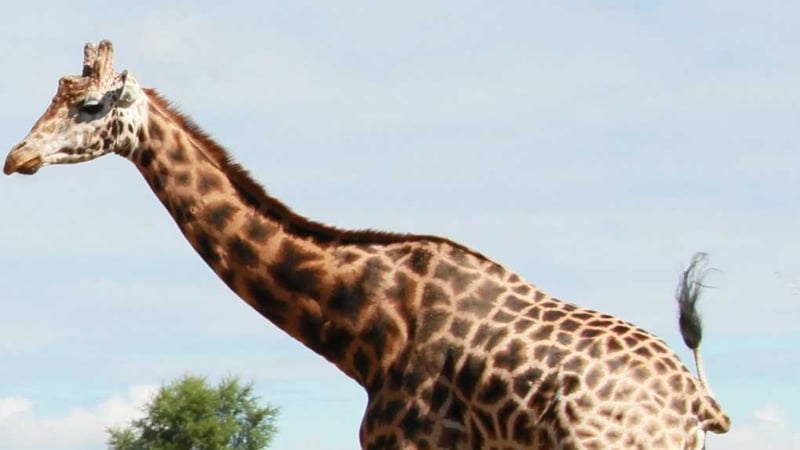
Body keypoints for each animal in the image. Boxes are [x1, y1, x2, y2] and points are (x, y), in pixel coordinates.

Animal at [4, 41, 729, 449]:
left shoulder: (405, 445)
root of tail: (694, 402)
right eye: (55, 97)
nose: (18, 156)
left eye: (92, 106)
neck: (368, 326)